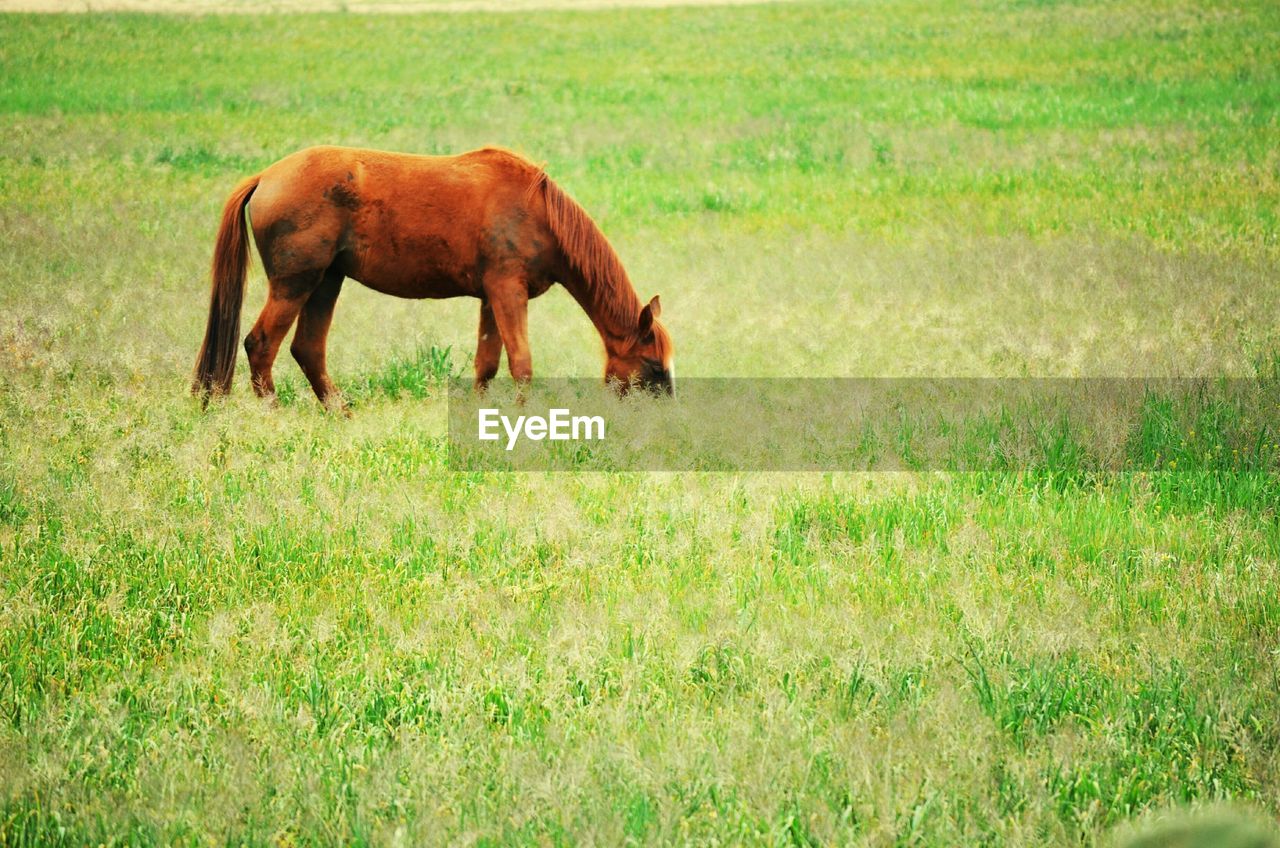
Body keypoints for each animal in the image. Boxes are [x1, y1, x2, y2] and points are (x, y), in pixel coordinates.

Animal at [189, 144, 675, 409]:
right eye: (653, 365)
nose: (666, 414)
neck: (537, 212)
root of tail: (266, 177)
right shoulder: (507, 290)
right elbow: (521, 365)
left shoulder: (491, 297)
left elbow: (487, 365)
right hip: (296, 284)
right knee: (261, 346)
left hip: (326, 282)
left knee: (308, 350)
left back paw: (340, 413)